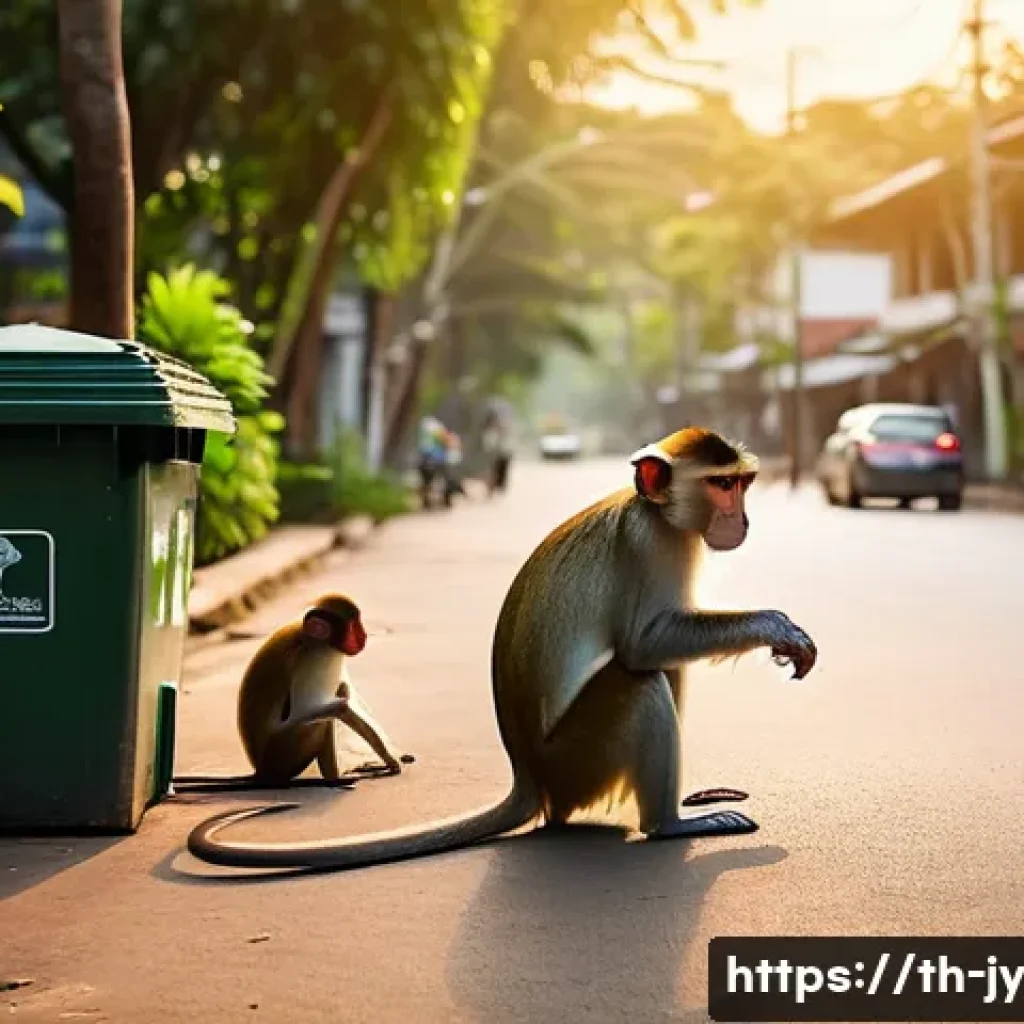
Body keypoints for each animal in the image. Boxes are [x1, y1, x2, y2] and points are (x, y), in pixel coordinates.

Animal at [172, 594, 414, 795]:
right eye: (354, 626)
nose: (364, 636)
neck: (317, 641)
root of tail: (262, 770)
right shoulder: (313, 660)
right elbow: (318, 708)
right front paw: (389, 759)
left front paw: (389, 756)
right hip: (283, 753)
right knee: (336, 707)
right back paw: (333, 779)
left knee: (340, 692)